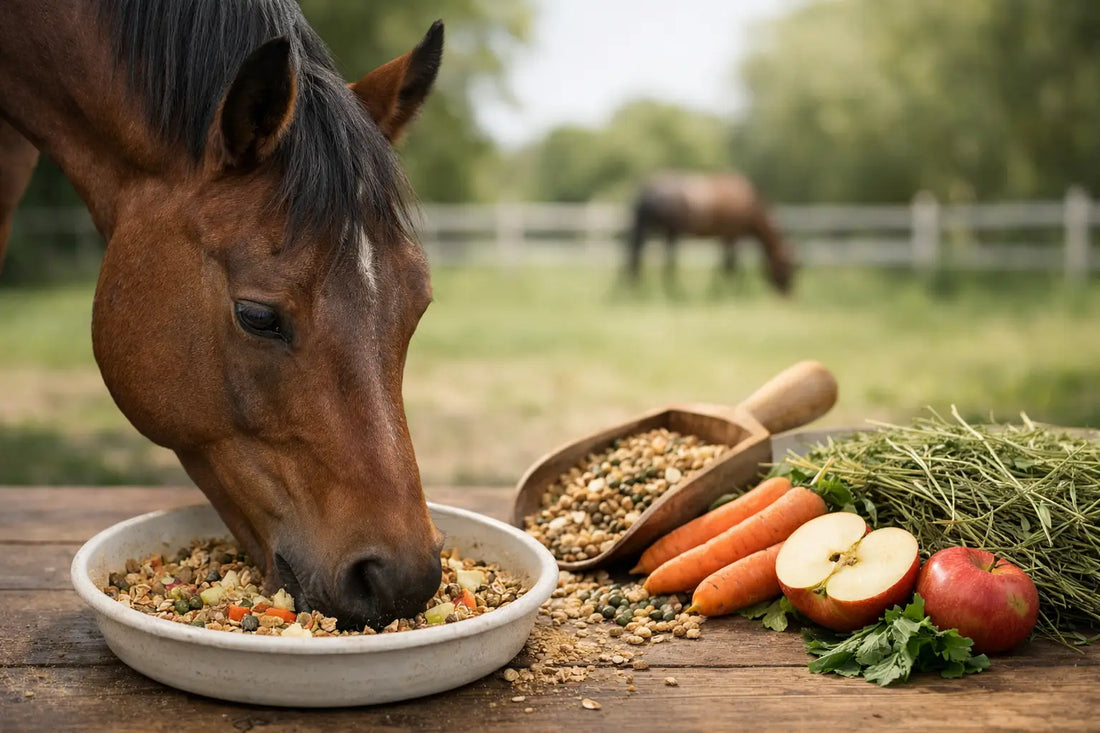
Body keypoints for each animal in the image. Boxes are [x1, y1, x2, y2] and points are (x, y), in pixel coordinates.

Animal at [623, 171, 795, 295]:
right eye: (786, 266)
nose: (787, 293)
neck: (750, 204)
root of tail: (646, 191)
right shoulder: (732, 236)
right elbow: (730, 265)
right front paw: (730, 290)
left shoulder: (724, 238)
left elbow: (723, 265)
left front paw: (719, 288)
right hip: (670, 231)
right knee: (663, 260)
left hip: (665, 231)